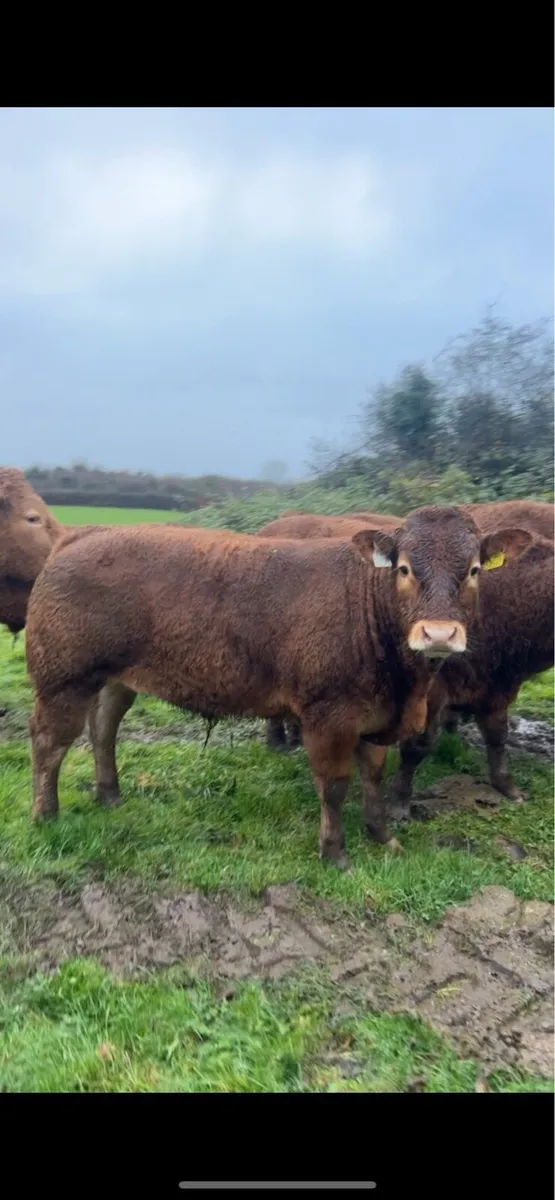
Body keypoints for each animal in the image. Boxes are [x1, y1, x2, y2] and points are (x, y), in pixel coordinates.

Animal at [25, 507, 533, 869]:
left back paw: (109, 794)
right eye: (405, 569)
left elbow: (373, 776)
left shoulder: (377, 715)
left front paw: (383, 835)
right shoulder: (328, 715)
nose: (439, 634)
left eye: (474, 570)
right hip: (62, 676)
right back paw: (46, 815)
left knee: (104, 729)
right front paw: (335, 853)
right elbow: (335, 785)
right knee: (50, 742)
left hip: (115, 678)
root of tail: (84, 533)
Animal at [384, 533, 554, 818]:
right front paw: (399, 804)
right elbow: (416, 745)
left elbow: (497, 736)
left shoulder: (497, 687)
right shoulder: (431, 691)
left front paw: (507, 788)